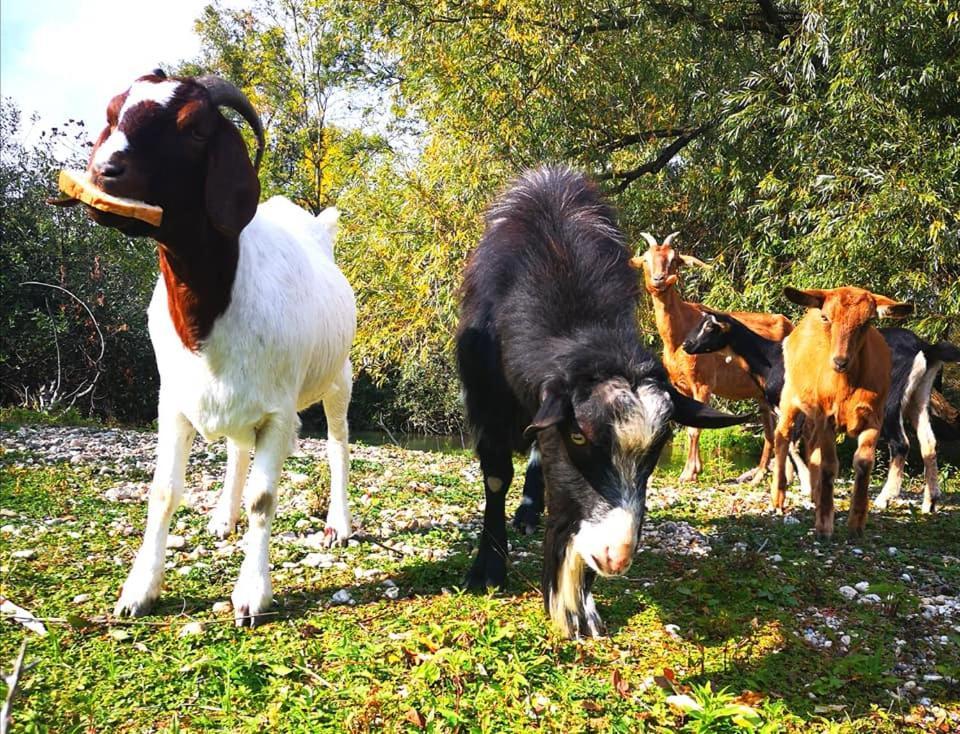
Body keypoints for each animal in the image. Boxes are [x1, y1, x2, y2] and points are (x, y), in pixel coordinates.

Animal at [454, 168, 748, 640]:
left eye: (659, 446)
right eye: (577, 435)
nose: (616, 556)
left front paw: (582, 609)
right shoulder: (486, 400)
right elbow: (497, 478)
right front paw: (488, 570)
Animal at [628, 236, 792, 486]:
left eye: (673, 259)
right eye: (646, 259)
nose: (659, 280)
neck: (678, 336)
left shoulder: (703, 383)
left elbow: (695, 428)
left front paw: (689, 473)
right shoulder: (681, 386)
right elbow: (690, 424)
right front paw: (694, 470)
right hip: (762, 393)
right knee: (770, 428)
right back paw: (760, 476)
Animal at [772, 288, 916, 540]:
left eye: (867, 321)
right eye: (827, 317)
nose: (839, 361)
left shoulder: (873, 419)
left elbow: (864, 463)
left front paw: (856, 523)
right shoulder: (827, 418)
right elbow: (829, 465)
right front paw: (824, 526)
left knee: (811, 445)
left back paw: (815, 495)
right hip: (790, 394)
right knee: (783, 435)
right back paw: (779, 499)